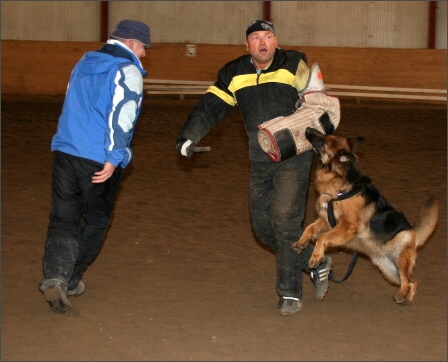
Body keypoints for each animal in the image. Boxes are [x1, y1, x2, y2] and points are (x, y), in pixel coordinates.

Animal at [292, 126, 440, 304]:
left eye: (323, 141)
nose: (308, 128)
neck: (341, 189)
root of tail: (414, 234)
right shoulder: (326, 220)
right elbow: (309, 228)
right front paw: (301, 242)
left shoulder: (347, 226)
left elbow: (322, 237)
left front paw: (316, 257)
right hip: (389, 271)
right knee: (413, 281)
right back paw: (406, 297)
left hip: (400, 257)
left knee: (409, 280)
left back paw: (402, 295)